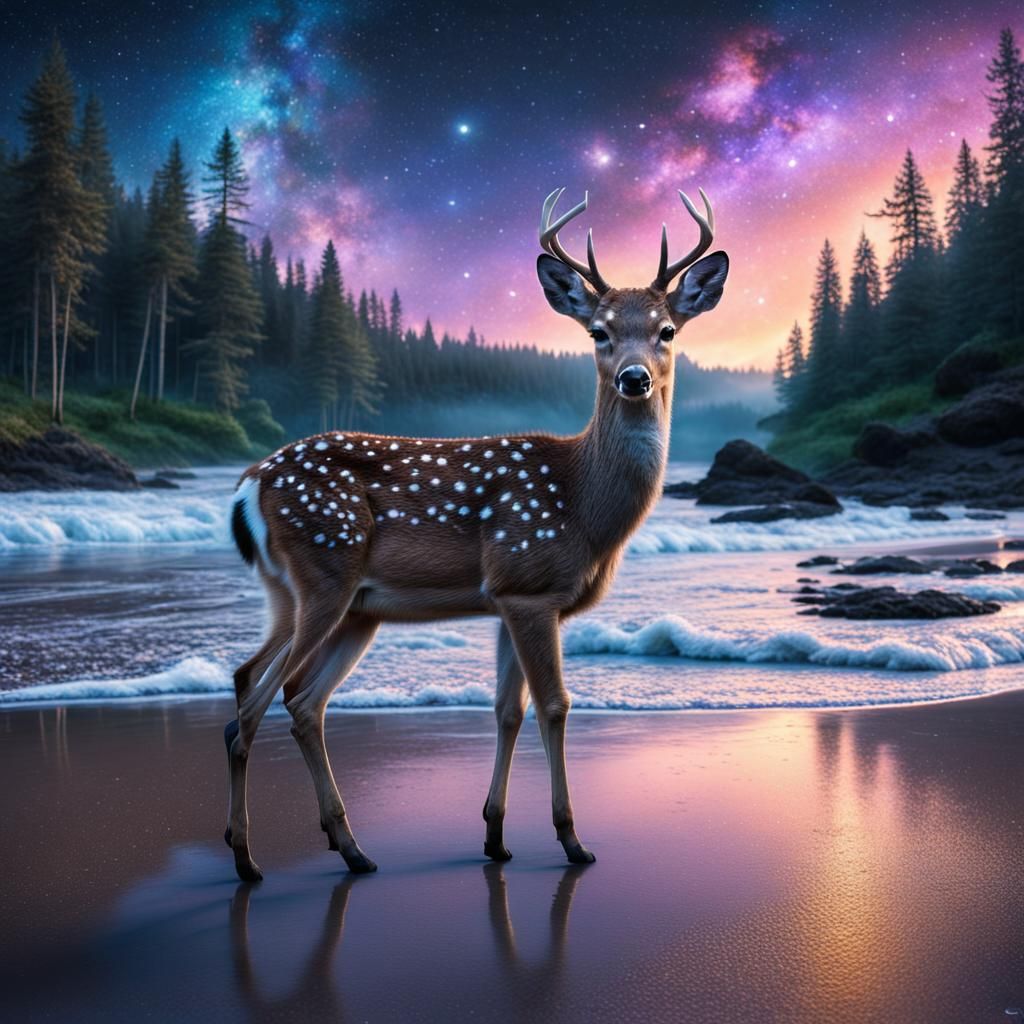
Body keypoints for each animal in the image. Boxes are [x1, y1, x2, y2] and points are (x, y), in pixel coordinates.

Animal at [225, 187, 729, 882]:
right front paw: (573, 841)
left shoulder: (506, 600)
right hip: (325, 572)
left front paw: (494, 836)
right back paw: (250, 860)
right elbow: (555, 705)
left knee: (276, 691)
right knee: (265, 702)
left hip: (325, 601)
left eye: (667, 330)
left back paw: (348, 849)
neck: (583, 503)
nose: (635, 378)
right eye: (598, 332)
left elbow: (505, 710)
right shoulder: (529, 584)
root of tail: (250, 482)